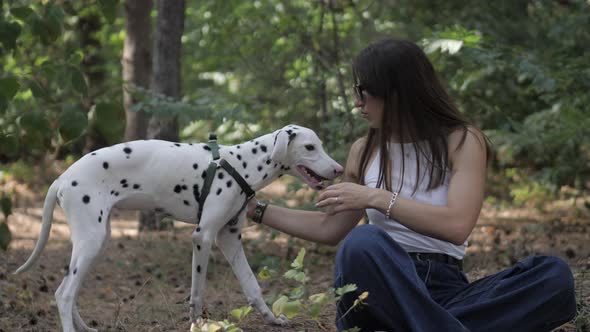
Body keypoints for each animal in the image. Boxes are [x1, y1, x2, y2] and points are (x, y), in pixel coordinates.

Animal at [13, 124, 344, 332]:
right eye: (310, 147)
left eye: (320, 146)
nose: (339, 169)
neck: (242, 164)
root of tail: (63, 177)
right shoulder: (203, 237)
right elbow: (197, 293)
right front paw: (196, 325)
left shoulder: (230, 240)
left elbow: (252, 286)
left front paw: (271, 319)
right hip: (91, 243)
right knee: (64, 294)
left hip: (94, 244)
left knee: (67, 289)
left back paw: (84, 327)